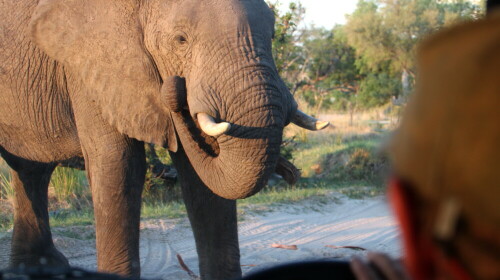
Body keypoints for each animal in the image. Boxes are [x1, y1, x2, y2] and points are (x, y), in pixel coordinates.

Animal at [0, 1, 328, 278]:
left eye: (272, 34)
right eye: (180, 40)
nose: (175, 86)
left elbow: (202, 180)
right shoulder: (88, 66)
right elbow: (119, 164)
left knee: (31, 169)